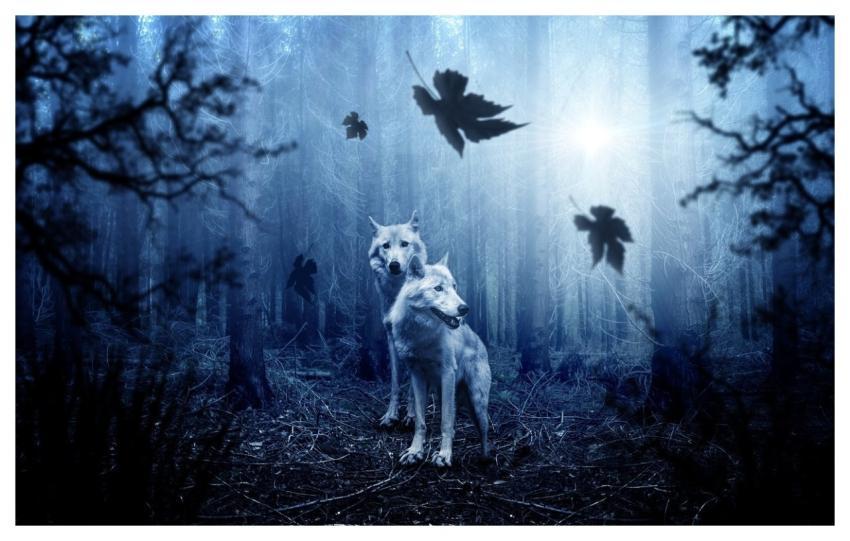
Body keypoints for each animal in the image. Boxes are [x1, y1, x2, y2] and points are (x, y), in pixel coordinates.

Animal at [368, 210, 428, 427]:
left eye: (404, 243)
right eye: (386, 245)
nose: (394, 265)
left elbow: (412, 386)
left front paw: (411, 416)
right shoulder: (391, 339)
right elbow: (395, 382)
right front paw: (391, 415)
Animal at [386, 253, 491, 467]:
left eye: (454, 286)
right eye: (438, 288)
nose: (465, 308)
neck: (420, 335)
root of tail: (481, 342)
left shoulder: (447, 373)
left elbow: (445, 422)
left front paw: (444, 455)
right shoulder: (417, 375)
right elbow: (420, 421)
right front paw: (415, 452)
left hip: (477, 401)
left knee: (484, 430)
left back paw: (485, 459)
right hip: (446, 393)